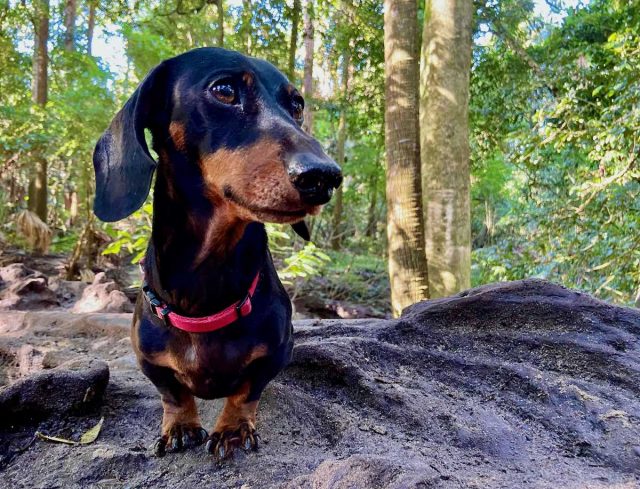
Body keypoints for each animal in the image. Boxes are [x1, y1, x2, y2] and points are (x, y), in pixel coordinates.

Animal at [92, 47, 342, 460]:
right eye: (224, 90)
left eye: (297, 105)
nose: (325, 176)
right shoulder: (147, 359)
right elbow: (172, 393)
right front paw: (180, 426)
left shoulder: (276, 351)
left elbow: (246, 391)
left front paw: (232, 429)